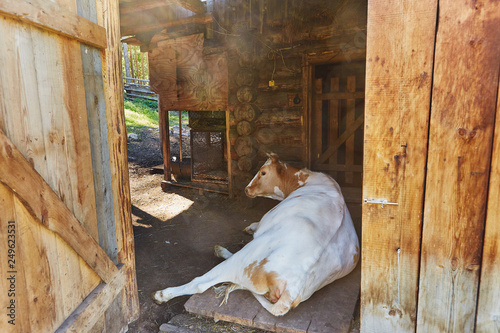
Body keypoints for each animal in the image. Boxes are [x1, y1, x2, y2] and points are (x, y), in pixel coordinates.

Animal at [152, 152, 360, 316]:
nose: (246, 189)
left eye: (263, 172)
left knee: (201, 283)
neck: (308, 181)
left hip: (247, 258)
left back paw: (163, 294)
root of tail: (294, 289)